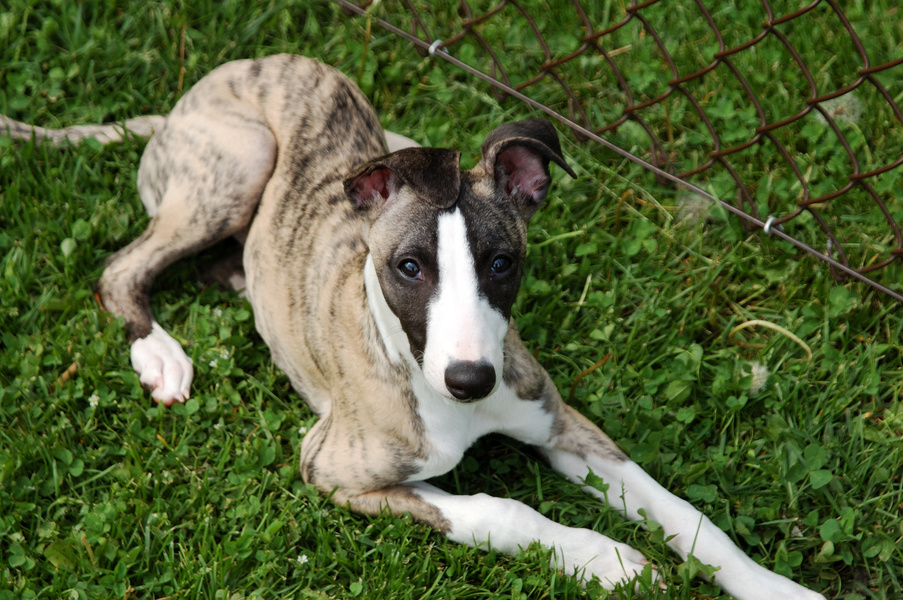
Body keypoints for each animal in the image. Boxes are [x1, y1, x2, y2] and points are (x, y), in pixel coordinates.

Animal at [3, 54, 828, 596]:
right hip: (239, 158)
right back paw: (160, 354)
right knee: (122, 268)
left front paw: (771, 586)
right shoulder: (331, 468)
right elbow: (502, 510)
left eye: (501, 262)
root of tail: (192, 95)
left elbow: (684, 513)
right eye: (407, 267)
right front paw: (608, 560)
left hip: (376, 140)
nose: (470, 380)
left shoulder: (562, 424)